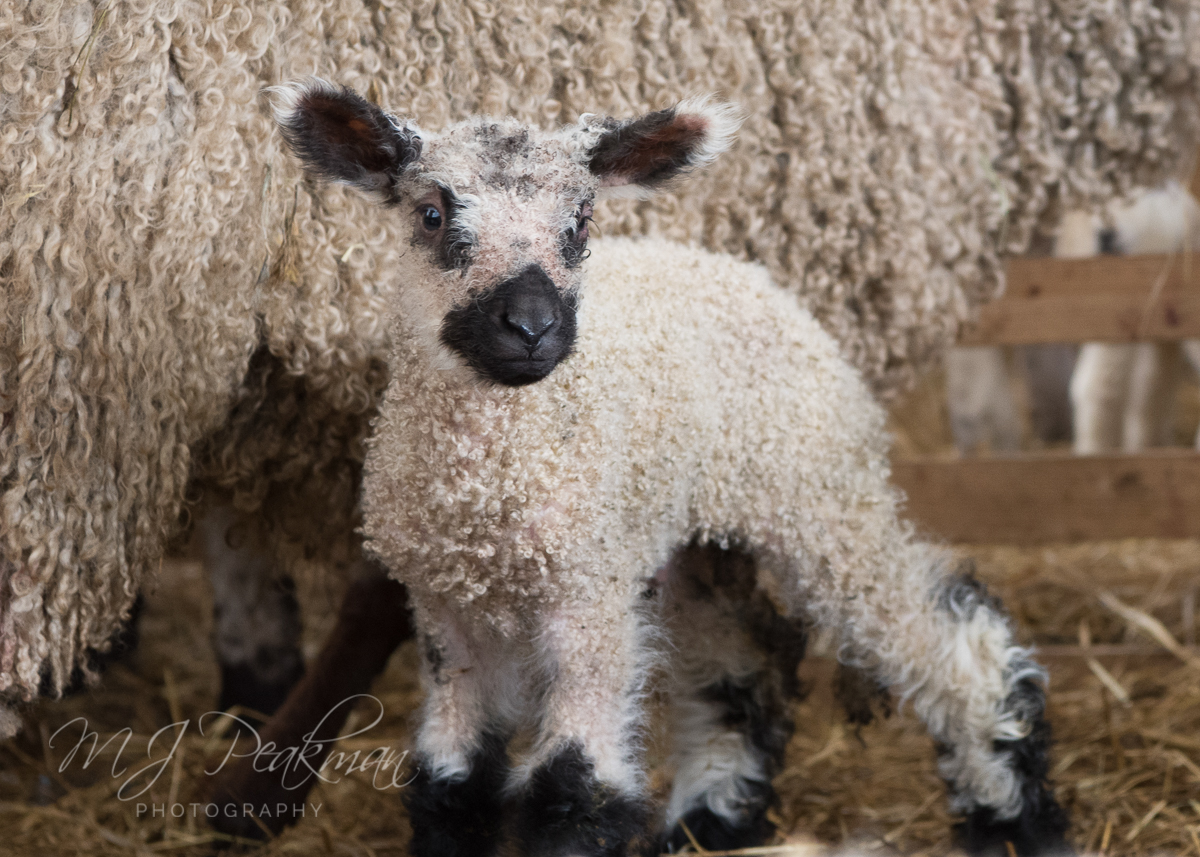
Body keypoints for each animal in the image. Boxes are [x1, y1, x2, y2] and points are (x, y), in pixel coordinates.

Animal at [273, 80, 1071, 857]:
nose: (531, 327)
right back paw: (712, 819)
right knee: (744, 658)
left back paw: (1017, 817)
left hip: (822, 491)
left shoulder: (588, 595)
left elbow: (571, 788)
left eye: (581, 220)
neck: (492, 491)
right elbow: (452, 784)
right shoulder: (445, 615)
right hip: (696, 539)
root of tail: (739, 272)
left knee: (946, 642)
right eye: (434, 214)